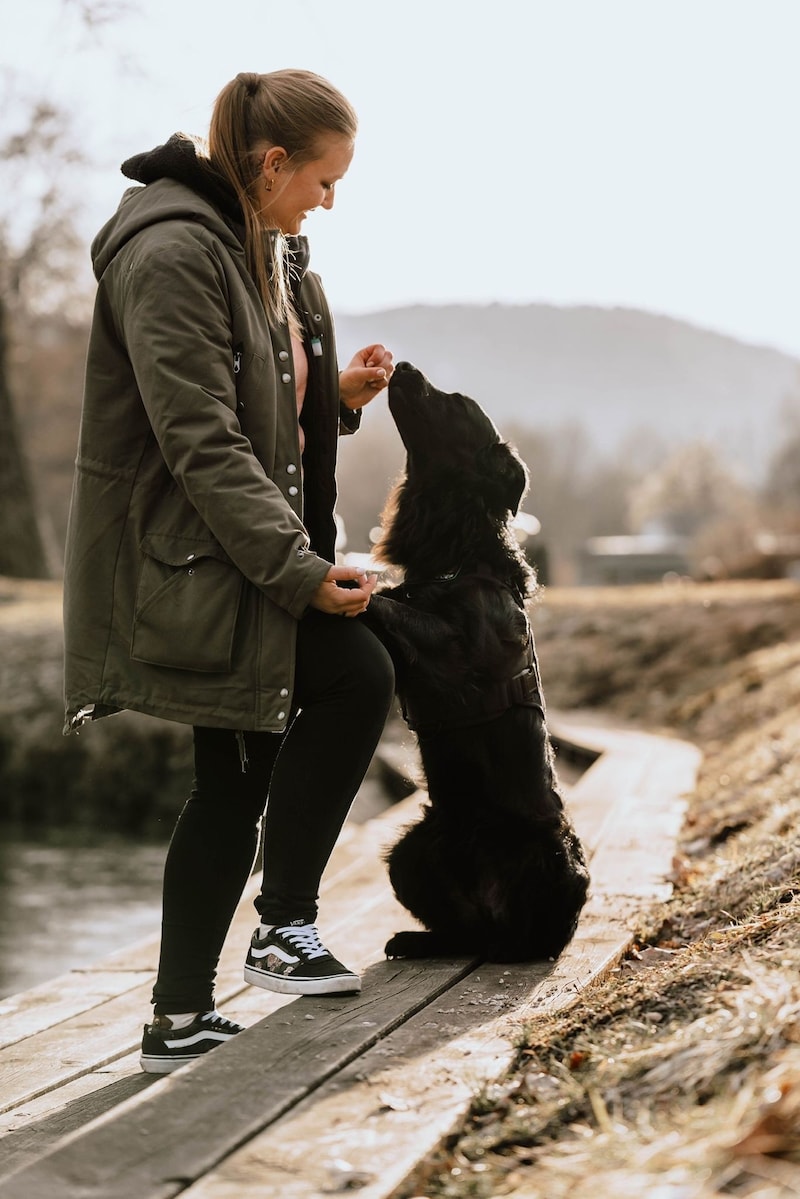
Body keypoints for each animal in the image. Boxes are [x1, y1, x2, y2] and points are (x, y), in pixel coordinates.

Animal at [367, 359, 592, 959]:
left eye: (457, 403)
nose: (403, 365)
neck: (455, 556)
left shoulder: (460, 658)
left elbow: (390, 606)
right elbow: (396, 599)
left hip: (552, 855)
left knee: (529, 938)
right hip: (411, 852)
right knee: (461, 932)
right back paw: (418, 940)